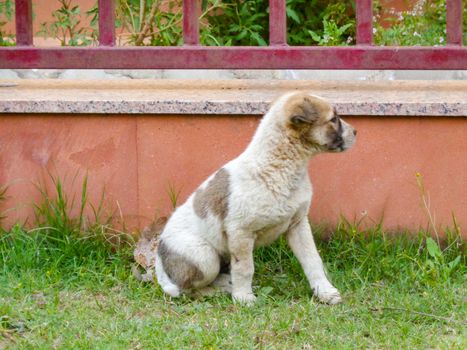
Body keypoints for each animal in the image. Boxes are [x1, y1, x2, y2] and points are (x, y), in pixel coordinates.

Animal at [155, 91, 356, 304]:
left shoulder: (298, 224)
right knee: (187, 289)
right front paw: (244, 297)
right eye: (333, 119)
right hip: (204, 257)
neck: (279, 168)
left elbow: (313, 260)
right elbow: (245, 268)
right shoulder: (240, 232)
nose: (356, 132)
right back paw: (219, 291)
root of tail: (160, 268)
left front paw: (324, 291)